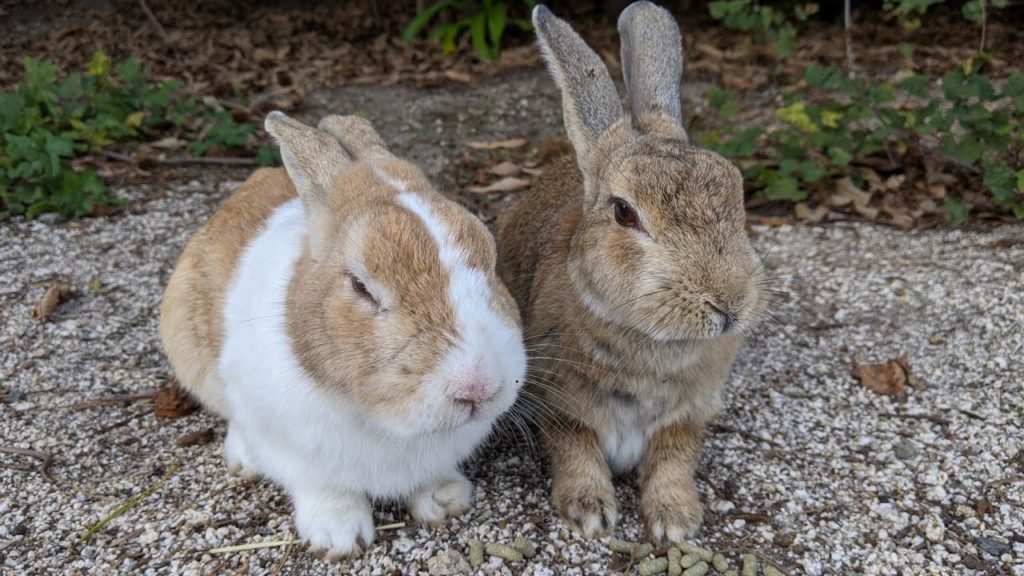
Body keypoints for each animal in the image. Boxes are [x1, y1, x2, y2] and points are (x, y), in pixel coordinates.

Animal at [159, 111, 527, 559]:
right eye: (361, 286)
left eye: (491, 258)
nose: (477, 388)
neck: (382, 424)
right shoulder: (293, 450)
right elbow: (324, 489)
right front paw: (339, 537)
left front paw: (444, 500)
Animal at [496, 2, 767, 543]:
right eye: (624, 212)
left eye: (737, 190)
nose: (728, 303)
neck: (649, 343)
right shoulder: (561, 405)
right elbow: (574, 448)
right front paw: (589, 511)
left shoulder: (688, 415)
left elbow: (674, 458)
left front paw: (675, 521)